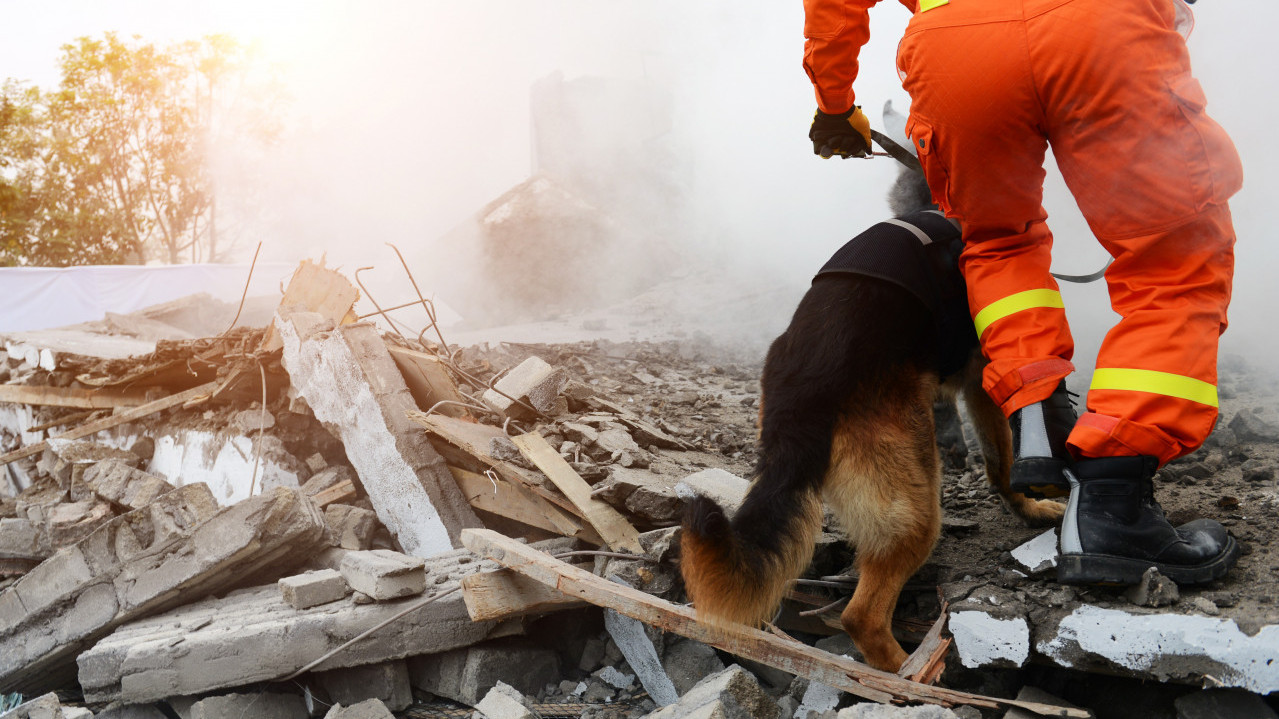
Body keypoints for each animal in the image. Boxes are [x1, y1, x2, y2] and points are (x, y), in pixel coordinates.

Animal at [680, 148, 1069, 670]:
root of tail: (801, 397)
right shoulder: (983, 377)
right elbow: (1001, 459)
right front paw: (1029, 507)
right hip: (914, 507)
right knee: (861, 616)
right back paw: (912, 672)